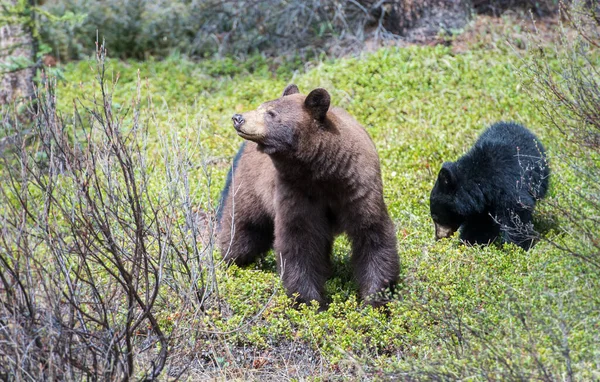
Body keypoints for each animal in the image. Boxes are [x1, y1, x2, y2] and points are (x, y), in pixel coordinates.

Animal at [216, 84, 398, 308]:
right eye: (261, 106)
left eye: (271, 113)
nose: (238, 117)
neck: (323, 172)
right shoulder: (297, 192)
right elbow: (299, 242)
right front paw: (309, 301)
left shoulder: (359, 189)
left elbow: (373, 235)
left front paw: (375, 300)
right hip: (251, 188)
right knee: (243, 229)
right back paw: (230, 261)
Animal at [432, 121, 548, 249]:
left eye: (435, 217)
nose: (438, 237)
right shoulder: (482, 204)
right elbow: (480, 223)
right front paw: (471, 241)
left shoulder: (509, 186)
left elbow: (517, 212)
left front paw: (518, 246)